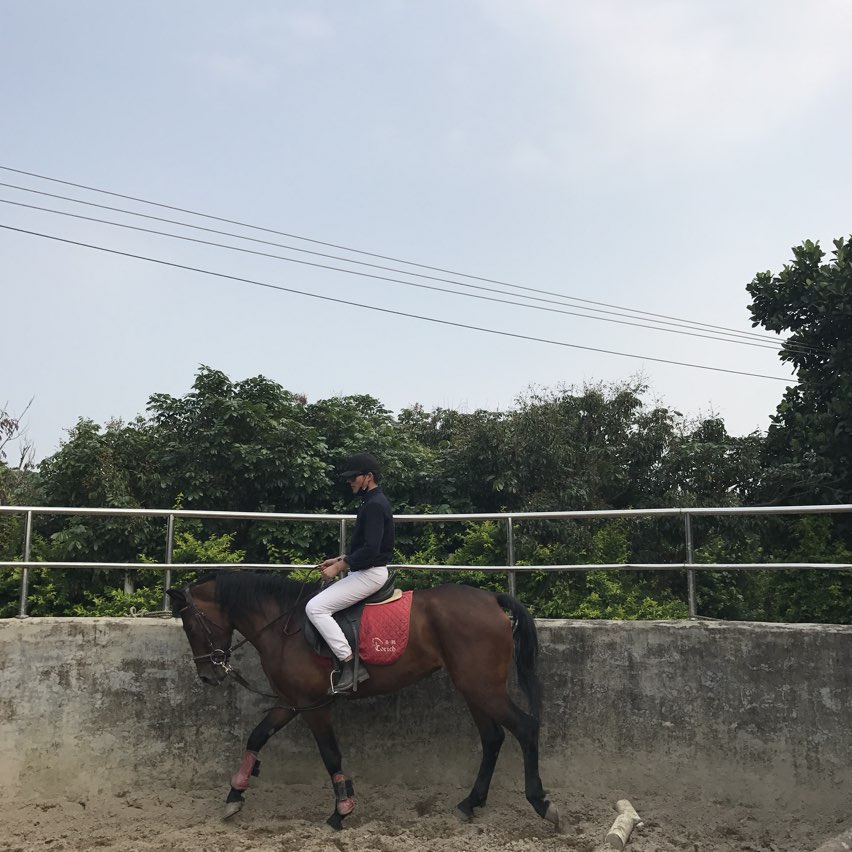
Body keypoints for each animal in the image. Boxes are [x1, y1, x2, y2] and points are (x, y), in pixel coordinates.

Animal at [169, 572, 564, 832]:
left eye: (191, 626)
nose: (208, 675)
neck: (284, 627)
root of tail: (491, 599)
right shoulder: (291, 701)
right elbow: (256, 736)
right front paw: (234, 796)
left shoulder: (315, 706)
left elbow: (330, 754)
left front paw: (341, 810)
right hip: (474, 689)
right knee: (493, 738)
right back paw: (470, 804)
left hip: (483, 688)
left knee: (525, 728)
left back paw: (542, 804)